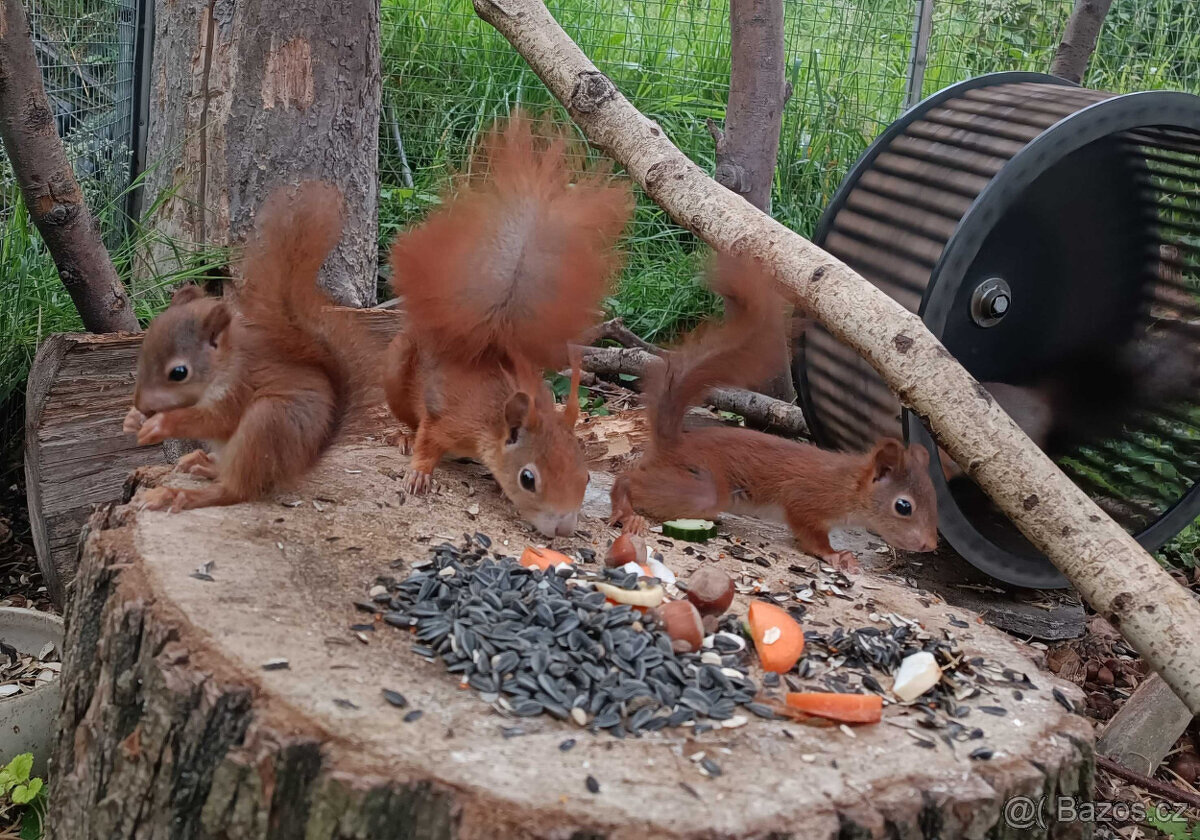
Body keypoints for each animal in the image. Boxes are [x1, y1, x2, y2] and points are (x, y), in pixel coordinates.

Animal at [123, 182, 374, 511]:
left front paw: (160, 424)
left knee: (236, 490)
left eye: (179, 373)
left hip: (267, 423)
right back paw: (201, 463)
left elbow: (214, 420)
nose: (142, 405)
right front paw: (133, 419)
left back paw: (179, 494)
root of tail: (302, 462)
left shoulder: (238, 387)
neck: (224, 365)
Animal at [384, 111, 633, 537]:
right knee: (405, 416)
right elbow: (427, 444)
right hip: (398, 371)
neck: (493, 419)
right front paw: (418, 474)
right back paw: (401, 435)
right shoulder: (447, 421)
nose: (564, 530)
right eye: (527, 479)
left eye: (585, 476)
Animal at [614, 255, 940, 571]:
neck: (849, 485)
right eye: (903, 506)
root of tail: (674, 440)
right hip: (702, 488)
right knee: (630, 480)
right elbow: (809, 533)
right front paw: (836, 555)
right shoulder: (806, 499)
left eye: (934, 498)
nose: (930, 545)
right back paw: (627, 510)